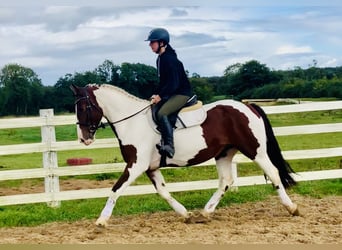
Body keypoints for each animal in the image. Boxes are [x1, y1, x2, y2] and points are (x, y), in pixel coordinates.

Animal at [70, 82, 300, 227]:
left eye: (84, 106)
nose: (83, 139)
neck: (132, 122)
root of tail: (247, 106)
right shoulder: (151, 168)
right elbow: (164, 192)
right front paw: (185, 214)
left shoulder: (136, 165)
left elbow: (115, 189)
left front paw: (101, 220)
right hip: (224, 154)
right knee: (226, 181)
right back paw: (205, 213)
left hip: (255, 151)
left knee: (273, 173)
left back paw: (291, 208)